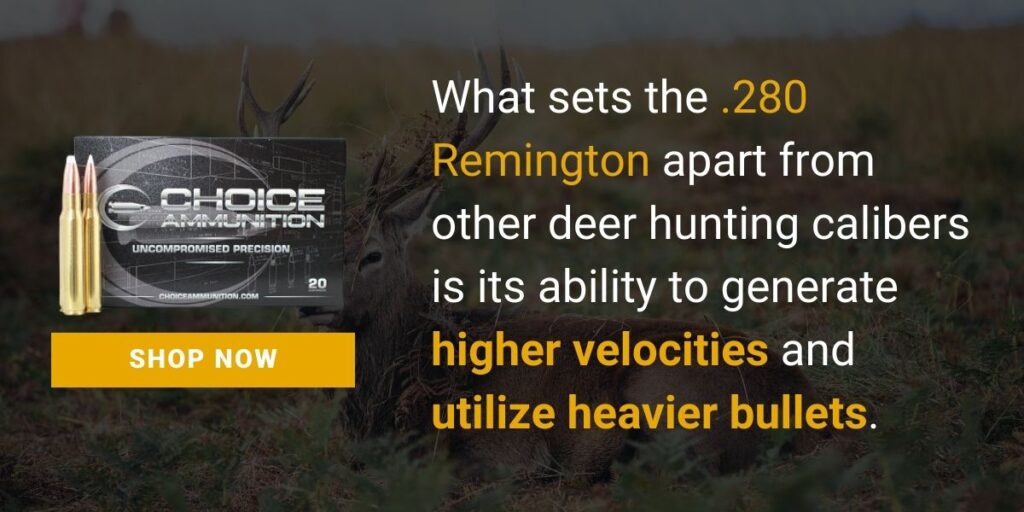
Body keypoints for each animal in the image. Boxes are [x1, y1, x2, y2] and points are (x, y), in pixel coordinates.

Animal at [238, 48, 824, 482]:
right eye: (298, 242)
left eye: (371, 254)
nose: (308, 302)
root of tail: (806, 402)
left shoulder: (500, 446)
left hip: (666, 390)